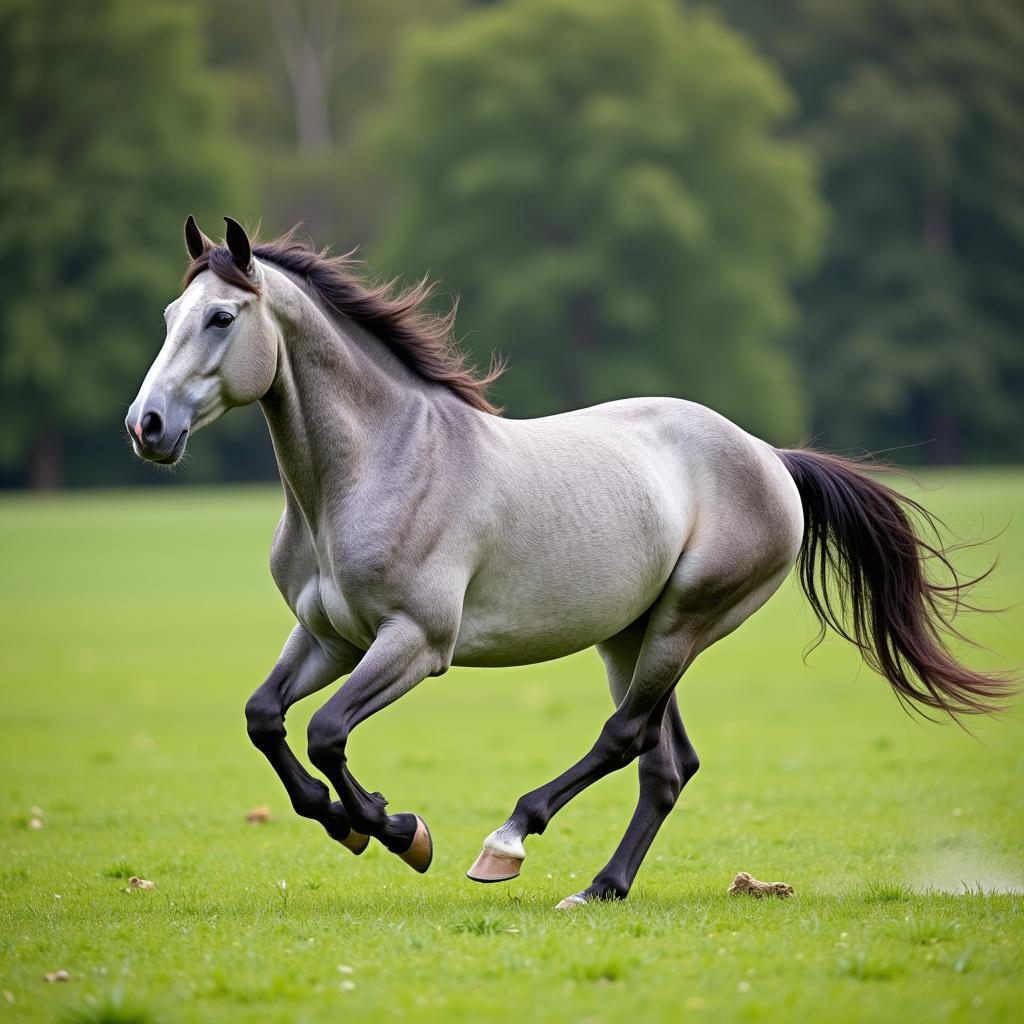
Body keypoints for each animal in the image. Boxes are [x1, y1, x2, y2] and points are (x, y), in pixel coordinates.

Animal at [125, 220, 1007, 909]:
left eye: (221, 317)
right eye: (169, 314)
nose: (147, 425)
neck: (378, 464)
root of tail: (770, 459)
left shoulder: (414, 642)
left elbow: (327, 731)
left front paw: (398, 829)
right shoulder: (327, 637)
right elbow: (265, 719)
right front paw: (345, 822)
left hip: (684, 624)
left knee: (624, 740)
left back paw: (509, 842)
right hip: (631, 636)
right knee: (666, 766)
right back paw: (600, 887)